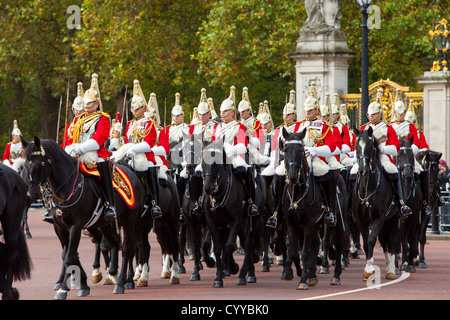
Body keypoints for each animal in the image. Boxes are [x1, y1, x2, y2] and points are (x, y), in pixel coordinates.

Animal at [23, 137, 146, 298]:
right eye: (25, 164)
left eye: (40, 163)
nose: (33, 193)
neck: (67, 186)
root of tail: (132, 174)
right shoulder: (60, 227)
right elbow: (68, 255)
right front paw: (82, 284)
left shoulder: (75, 226)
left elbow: (69, 256)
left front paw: (64, 288)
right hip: (104, 223)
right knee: (114, 243)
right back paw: (113, 274)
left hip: (129, 220)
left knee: (127, 249)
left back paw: (122, 283)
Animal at [354, 129, 400, 282]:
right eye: (356, 147)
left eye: (370, 147)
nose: (363, 170)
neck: (368, 187)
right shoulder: (361, 221)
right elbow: (366, 242)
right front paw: (368, 268)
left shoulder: (379, 218)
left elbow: (371, 240)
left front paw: (369, 268)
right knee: (384, 241)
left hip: (394, 218)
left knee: (392, 240)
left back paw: (391, 269)